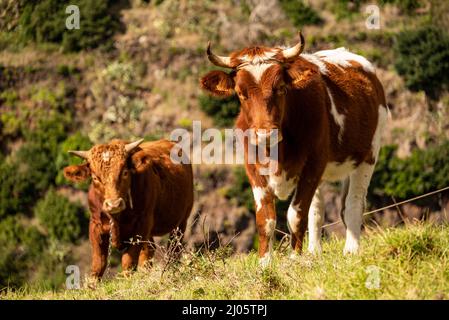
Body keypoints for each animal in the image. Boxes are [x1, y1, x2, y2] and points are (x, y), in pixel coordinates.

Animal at [62, 139, 192, 280]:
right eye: (95, 178)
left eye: (124, 172)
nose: (114, 204)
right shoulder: (95, 225)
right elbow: (98, 264)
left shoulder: (142, 224)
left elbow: (128, 261)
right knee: (149, 250)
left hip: (181, 222)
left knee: (174, 249)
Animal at [200, 32, 384, 266]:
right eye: (241, 93)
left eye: (280, 87)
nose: (265, 134)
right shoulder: (253, 169)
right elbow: (266, 219)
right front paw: (264, 264)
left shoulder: (313, 165)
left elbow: (295, 215)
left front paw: (295, 258)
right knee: (317, 210)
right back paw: (314, 252)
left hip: (368, 154)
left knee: (353, 203)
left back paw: (351, 250)